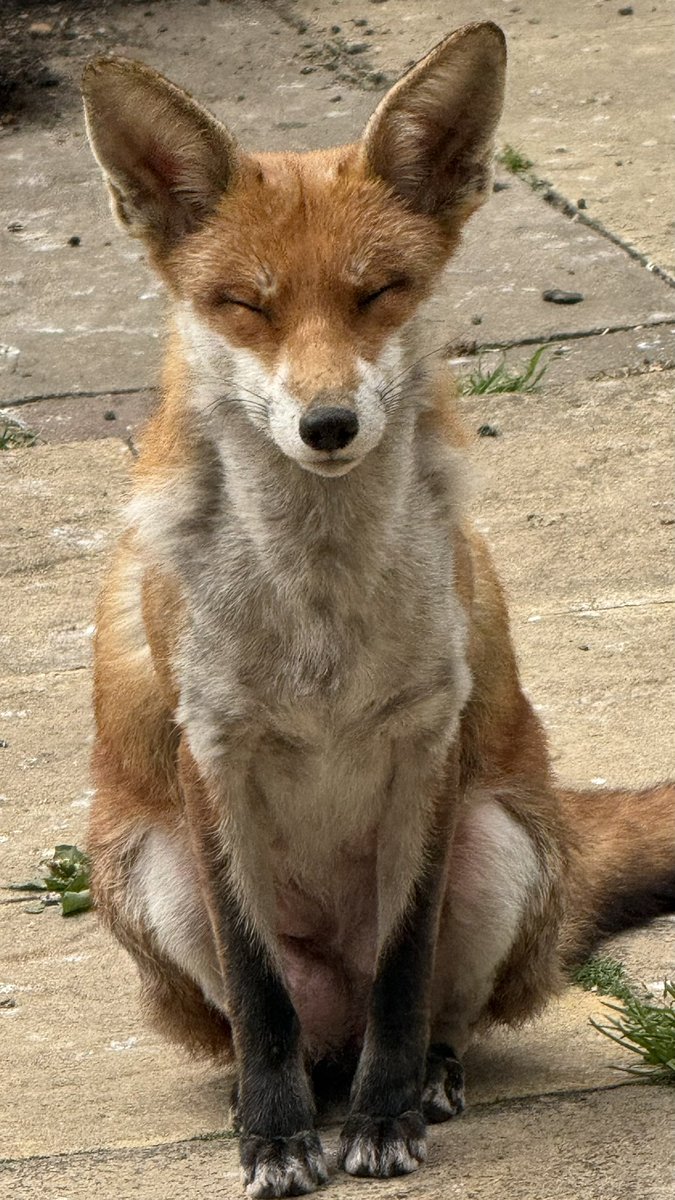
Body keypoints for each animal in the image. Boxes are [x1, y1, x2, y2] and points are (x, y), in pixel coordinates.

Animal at [81, 22, 674, 1199]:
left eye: (377, 294)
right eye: (247, 305)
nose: (328, 424)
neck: (319, 606)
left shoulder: (427, 743)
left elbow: (404, 968)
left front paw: (387, 1120)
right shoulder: (213, 751)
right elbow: (258, 991)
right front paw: (274, 1138)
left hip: (502, 848)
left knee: (430, 1012)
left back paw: (418, 1080)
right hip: (154, 873)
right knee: (280, 1029)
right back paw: (275, 1096)